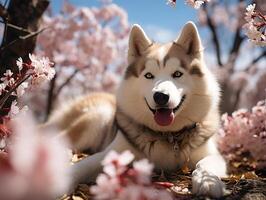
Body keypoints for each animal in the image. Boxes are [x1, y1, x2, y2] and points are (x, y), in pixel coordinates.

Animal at [45, 21, 227, 197]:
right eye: (148, 75)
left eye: (177, 74)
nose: (161, 96)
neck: (167, 135)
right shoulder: (112, 153)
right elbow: (83, 166)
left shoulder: (213, 154)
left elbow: (206, 163)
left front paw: (207, 181)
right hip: (98, 116)